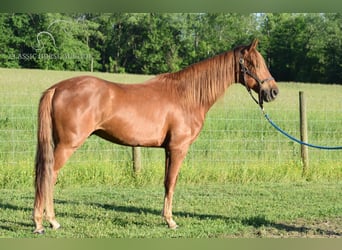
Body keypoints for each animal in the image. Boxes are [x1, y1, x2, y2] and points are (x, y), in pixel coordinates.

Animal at [32, 38, 278, 233]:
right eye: (254, 63)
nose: (273, 91)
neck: (187, 96)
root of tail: (57, 88)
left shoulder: (168, 149)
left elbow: (166, 182)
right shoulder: (179, 148)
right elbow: (172, 182)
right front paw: (171, 221)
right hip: (68, 145)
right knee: (48, 176)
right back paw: (44, 223)